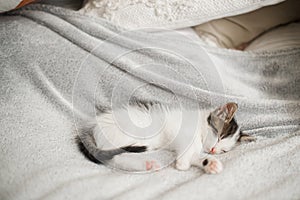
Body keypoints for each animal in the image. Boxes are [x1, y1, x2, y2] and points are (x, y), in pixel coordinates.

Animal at [77, 102, 253, 174]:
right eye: (219, 136)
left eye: (223, 150)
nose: (213, 150)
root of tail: (92, 124)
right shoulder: (183, 131)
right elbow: (193, 146)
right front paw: (182, 164)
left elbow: (195, 154)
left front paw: (209, 163)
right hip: (126, 135)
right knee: (115, 157)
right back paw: (147, 164)